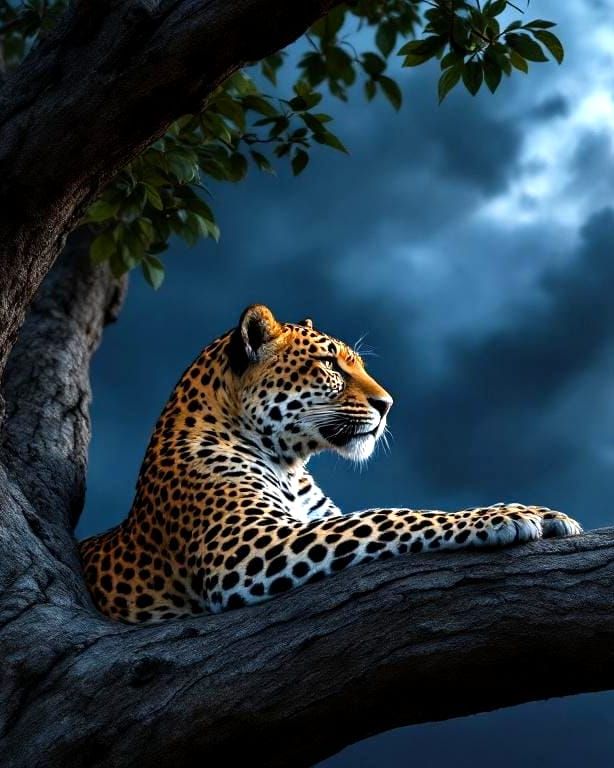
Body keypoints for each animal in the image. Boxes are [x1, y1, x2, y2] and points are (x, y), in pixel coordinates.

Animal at [79, 304, 582, 623]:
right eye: (331, 365)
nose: (388, 405)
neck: (288, 462)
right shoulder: (247, 548)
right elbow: (391, 516)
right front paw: (511, 515)